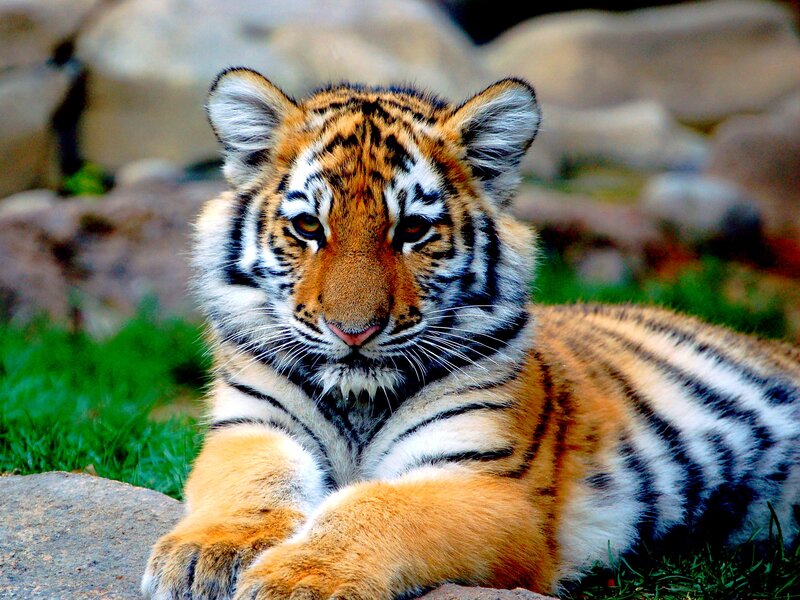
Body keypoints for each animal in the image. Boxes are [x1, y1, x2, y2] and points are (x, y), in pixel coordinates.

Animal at [142, 67, 800, 600]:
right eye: (308, 227)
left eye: (412, 231)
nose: (353, 332)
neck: (358, 398)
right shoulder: (251, 426)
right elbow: (252, 481)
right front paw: (207, 555)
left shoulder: (487, 484)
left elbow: (378, 507)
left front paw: (301, 579)